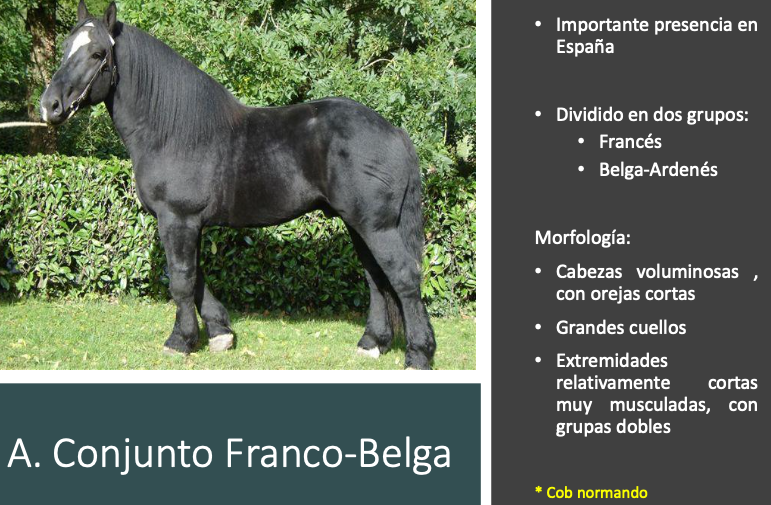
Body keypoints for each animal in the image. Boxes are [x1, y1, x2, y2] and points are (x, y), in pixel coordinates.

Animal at [39, 1, 436, 369]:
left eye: (97, 54)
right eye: (65, 47)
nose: (50, 106)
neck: (172, 132)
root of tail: (395, 132)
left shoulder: (177, 219)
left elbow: (181, 279)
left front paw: (180, 340)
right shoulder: (187, 223)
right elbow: (195, 276)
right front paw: (220, 333)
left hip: (376, 227)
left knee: (403, 278)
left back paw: (419, 354)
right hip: (360, 226)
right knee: (377, 280)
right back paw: (372, 343)